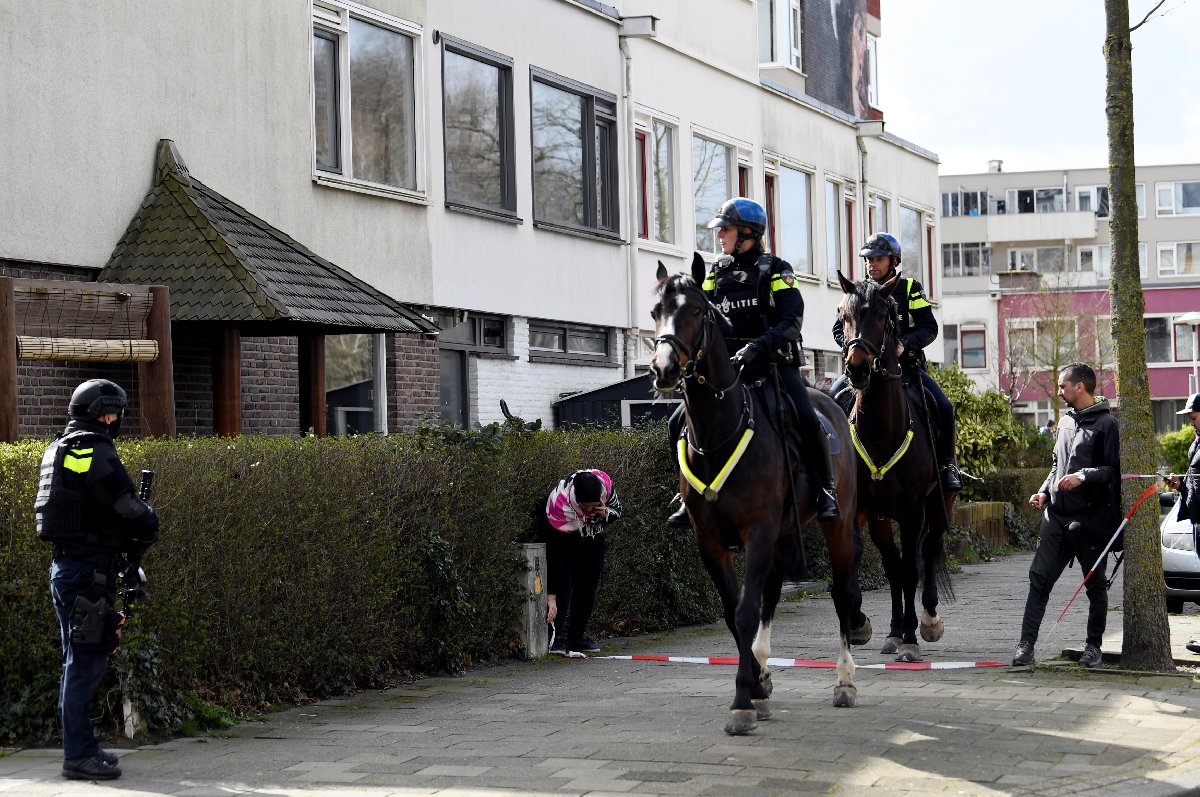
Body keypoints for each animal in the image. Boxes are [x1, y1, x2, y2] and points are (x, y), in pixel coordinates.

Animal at [652, 256, 868, 734]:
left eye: (698, 311)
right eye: (656, 310)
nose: (663, 369)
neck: (718, 432)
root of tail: (832, 404)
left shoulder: (758, 532)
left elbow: (745, 611)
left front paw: (742, 703)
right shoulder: (711, 542)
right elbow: (735, 614)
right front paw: (754, 686)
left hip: (837, 525)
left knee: (842, 592)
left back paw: (844, 681)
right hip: (783, 532)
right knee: (772, 592)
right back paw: (765, 669)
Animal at [835, 271, 955, 662]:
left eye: (883, 317)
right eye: (843, 316)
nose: (856, 368)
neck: (880, 431)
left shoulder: (913, 509)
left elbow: (910, 567)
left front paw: (912, 639)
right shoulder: (860, 508)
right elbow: (862, 558)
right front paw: (860, 623)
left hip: (938, 503)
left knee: (927, 550)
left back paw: (927, 622)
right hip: (881, 516)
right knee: (892, 563)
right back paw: (894, 630)